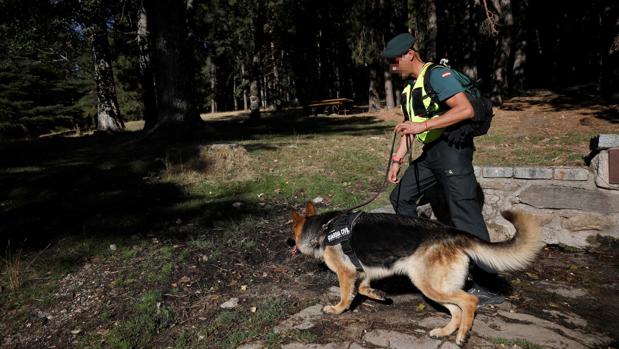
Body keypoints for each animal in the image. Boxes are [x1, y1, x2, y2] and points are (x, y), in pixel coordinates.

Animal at [290, 201, 544, 346]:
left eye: (292, 233)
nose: (287, 243)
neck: (323, 228)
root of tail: (451, 232)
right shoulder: (366, 270)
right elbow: (362, 286)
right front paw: (378, 295)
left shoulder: (346, 273)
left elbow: (346, 294)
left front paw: (337, 309)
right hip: (435, 288)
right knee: (456, 310)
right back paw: (444, 332)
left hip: (429, 285)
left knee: (469, 301)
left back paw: (461, 335)